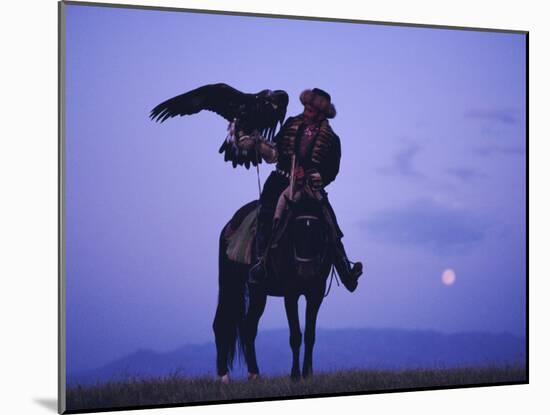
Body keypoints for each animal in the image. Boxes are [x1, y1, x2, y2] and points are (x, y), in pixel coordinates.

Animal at [212, 192, 334, 384]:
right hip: (230, 284)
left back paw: (254, 373)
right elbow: (295, 335)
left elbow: (310, 335)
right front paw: (295, 375)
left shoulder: (316, 293)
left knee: (248, 327)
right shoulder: (291, 294)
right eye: (294, 231)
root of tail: (229, 226)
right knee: (221, 323)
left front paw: (307, 374)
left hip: (258, 293)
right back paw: (224, 375)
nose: (306, 273)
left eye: (318, 231)